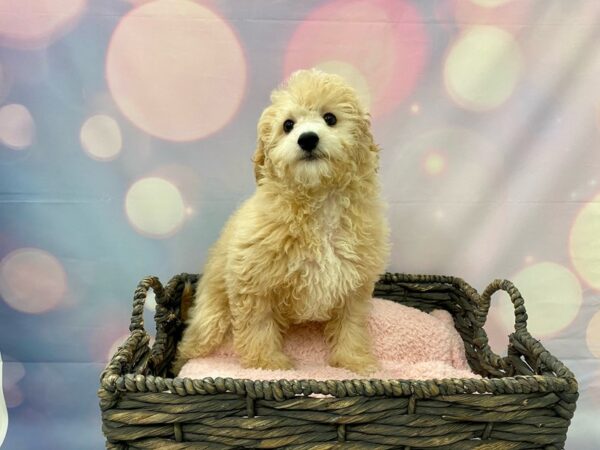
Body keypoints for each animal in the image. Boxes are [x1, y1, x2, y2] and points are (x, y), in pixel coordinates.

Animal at [173, 68, 390, 374]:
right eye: (288, 125)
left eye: (330, 118)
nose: (307, 139)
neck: (318, 202)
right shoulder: (253, 281)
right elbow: (258, 325)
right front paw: (267, 364)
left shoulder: (354, 285)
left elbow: (352, 325)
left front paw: (355, 361)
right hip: (210, 320)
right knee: (191, 344)